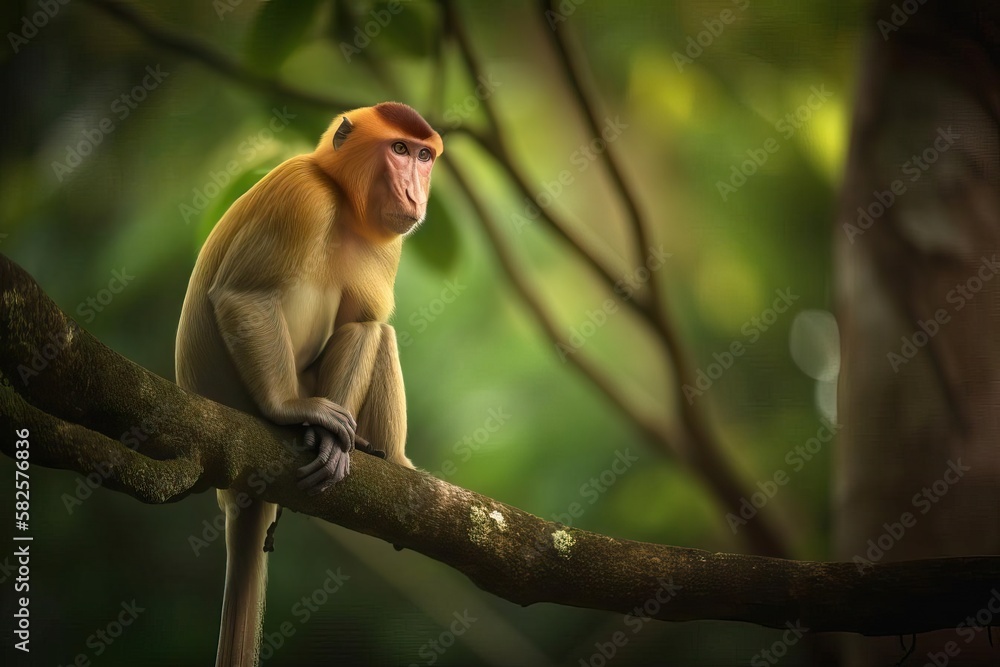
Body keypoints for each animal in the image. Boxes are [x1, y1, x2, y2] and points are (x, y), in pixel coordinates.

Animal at [175, 102, 442, 667]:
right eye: (400, 150)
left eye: (425, 156)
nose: (416, 193)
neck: (340, 199)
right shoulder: (302, 195)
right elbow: (244, 296)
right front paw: (293, 413)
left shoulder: (384, 245)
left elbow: (362, 324)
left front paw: (334, 445)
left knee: (374, 330)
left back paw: (382, 457)